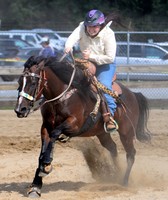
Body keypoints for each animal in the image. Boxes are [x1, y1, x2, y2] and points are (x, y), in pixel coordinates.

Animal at [14, 54, 151, 197]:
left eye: (33, 82)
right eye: (19, 82)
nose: (20, 109)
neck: (62, 98)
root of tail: (133, 94)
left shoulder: (75, 124)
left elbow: (55, 134)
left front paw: (46, 164)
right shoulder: (45, 127)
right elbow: (41, 153)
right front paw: (36, 186)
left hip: (126, 132)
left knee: (131, 154)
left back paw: (124, 182)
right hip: (102, 134)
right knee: (113, 148)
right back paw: (116, 174)